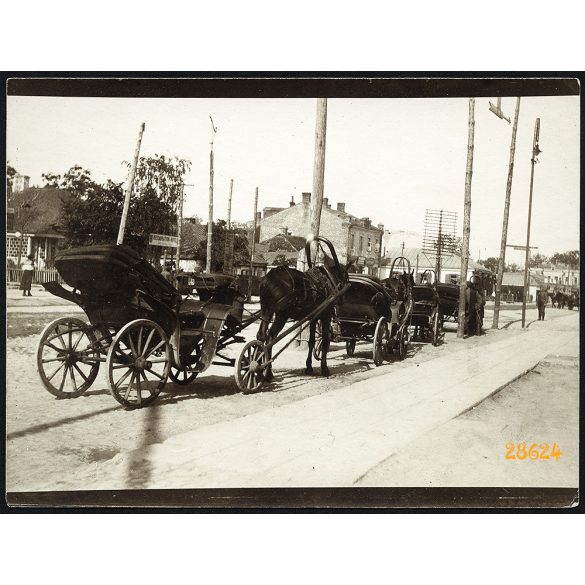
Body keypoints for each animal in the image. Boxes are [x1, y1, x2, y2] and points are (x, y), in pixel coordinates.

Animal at [256, 241, 346, 380]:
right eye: (346, 276)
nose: (343, 299)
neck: (327, 280)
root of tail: (268, 279)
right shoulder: (325, 316)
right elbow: (325, 340)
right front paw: (324, 368)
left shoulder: (314, 317)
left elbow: (312, 341)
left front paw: (309, 367)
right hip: (281, 315)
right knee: (270, 336)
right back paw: (268, 372)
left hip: (266, 311)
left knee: (261, 335)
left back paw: (259, 369)